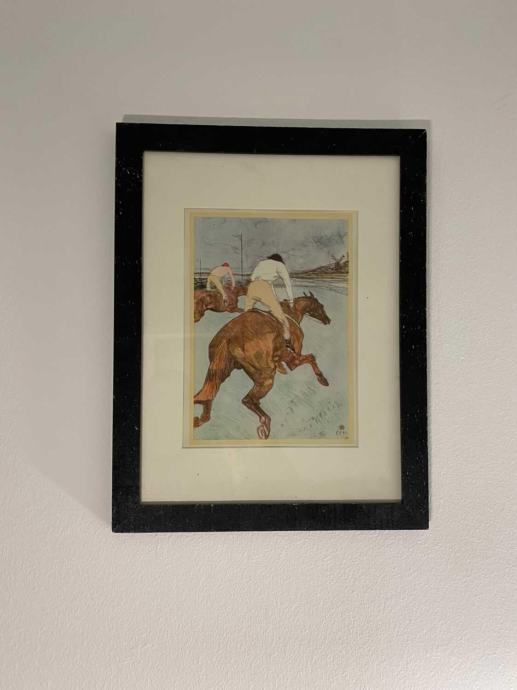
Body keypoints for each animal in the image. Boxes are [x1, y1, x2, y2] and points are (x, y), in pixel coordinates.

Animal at [193, 291, 331, 439]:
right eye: (321, 306)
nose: (328, 320)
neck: (290, 313)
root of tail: (228, 339)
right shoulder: (294, 359)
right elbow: (311, 358)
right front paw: (322, 379)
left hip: (220, 372)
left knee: (207, 398)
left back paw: (199, 419)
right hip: (266, 377)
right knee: (248, 400)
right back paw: (265, 425)